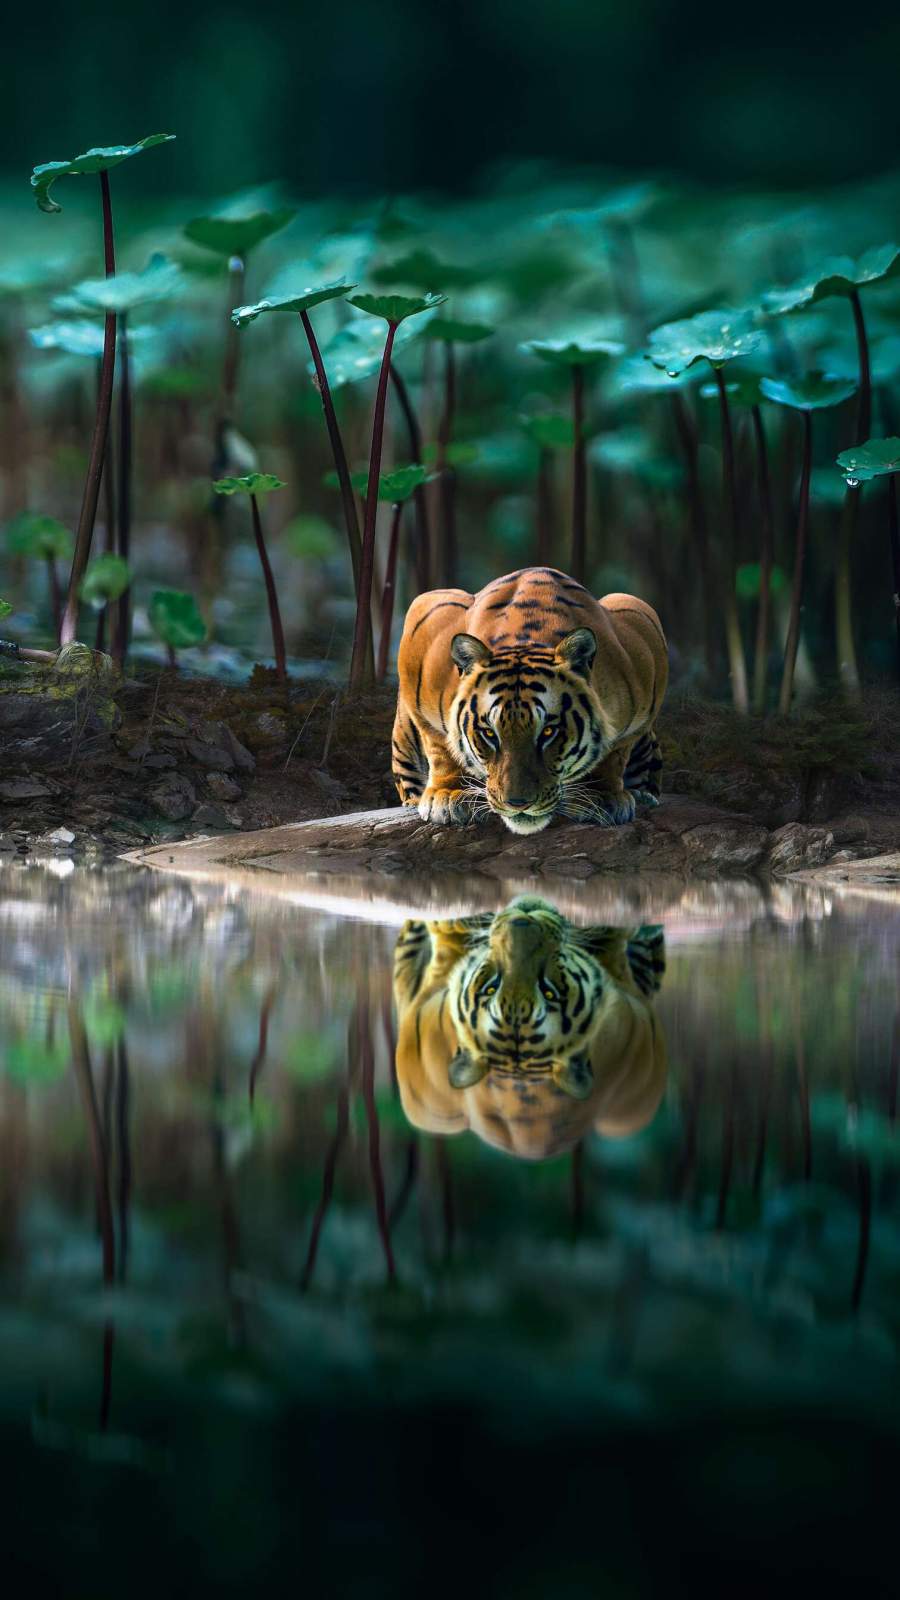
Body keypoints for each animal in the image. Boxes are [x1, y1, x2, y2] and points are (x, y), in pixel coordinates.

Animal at [391, 565, 667, 834]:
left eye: (548, 732)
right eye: (489, 733)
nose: (518, 803)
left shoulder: (643, 629)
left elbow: (614, 752)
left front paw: (600, 796)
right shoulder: (425, 619)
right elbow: (440, 745)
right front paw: (449, 795)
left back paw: (643, 795)